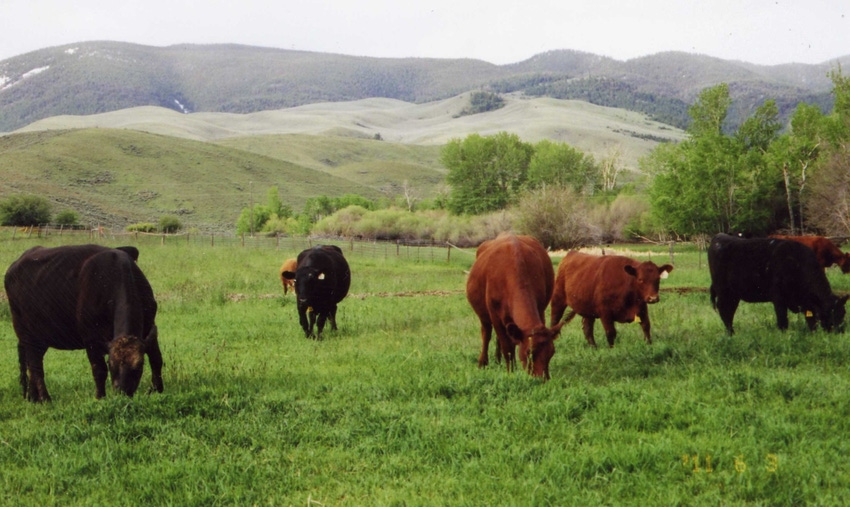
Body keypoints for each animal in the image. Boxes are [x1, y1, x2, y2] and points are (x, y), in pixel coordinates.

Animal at [4, 244, 164, 402]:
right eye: (111, 365)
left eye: (139, 365)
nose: (122, 392)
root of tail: (14, 266)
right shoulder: (91, 340)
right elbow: (99, 370)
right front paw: (100, 397)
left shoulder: (150, 329)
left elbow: (156, 359)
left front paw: (158, 390)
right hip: (26, 334)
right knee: (35, 366)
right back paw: (45, 398)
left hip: (40, 339)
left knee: (32, 363)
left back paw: (33, 398)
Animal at [464, 234, 564, 380]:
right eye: (529, 352)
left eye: (552, 352)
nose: (543, 379)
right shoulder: (495, 315)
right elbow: (507, 347)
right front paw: (511, 372)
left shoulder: (540, 309)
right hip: (484, 316)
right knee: (486, 334)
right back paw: (483, 362)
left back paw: (497, 359)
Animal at [704, 235, 844, 338]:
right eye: (828, 314)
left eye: (843, 314)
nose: (839, 334)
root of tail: (719, 237)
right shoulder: (779, 299)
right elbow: (783, 322)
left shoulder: (807, 302)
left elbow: (811, 320)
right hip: (724, 292)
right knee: (725, 312)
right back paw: (731, 334)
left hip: (734, 295)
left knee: (729, 312)